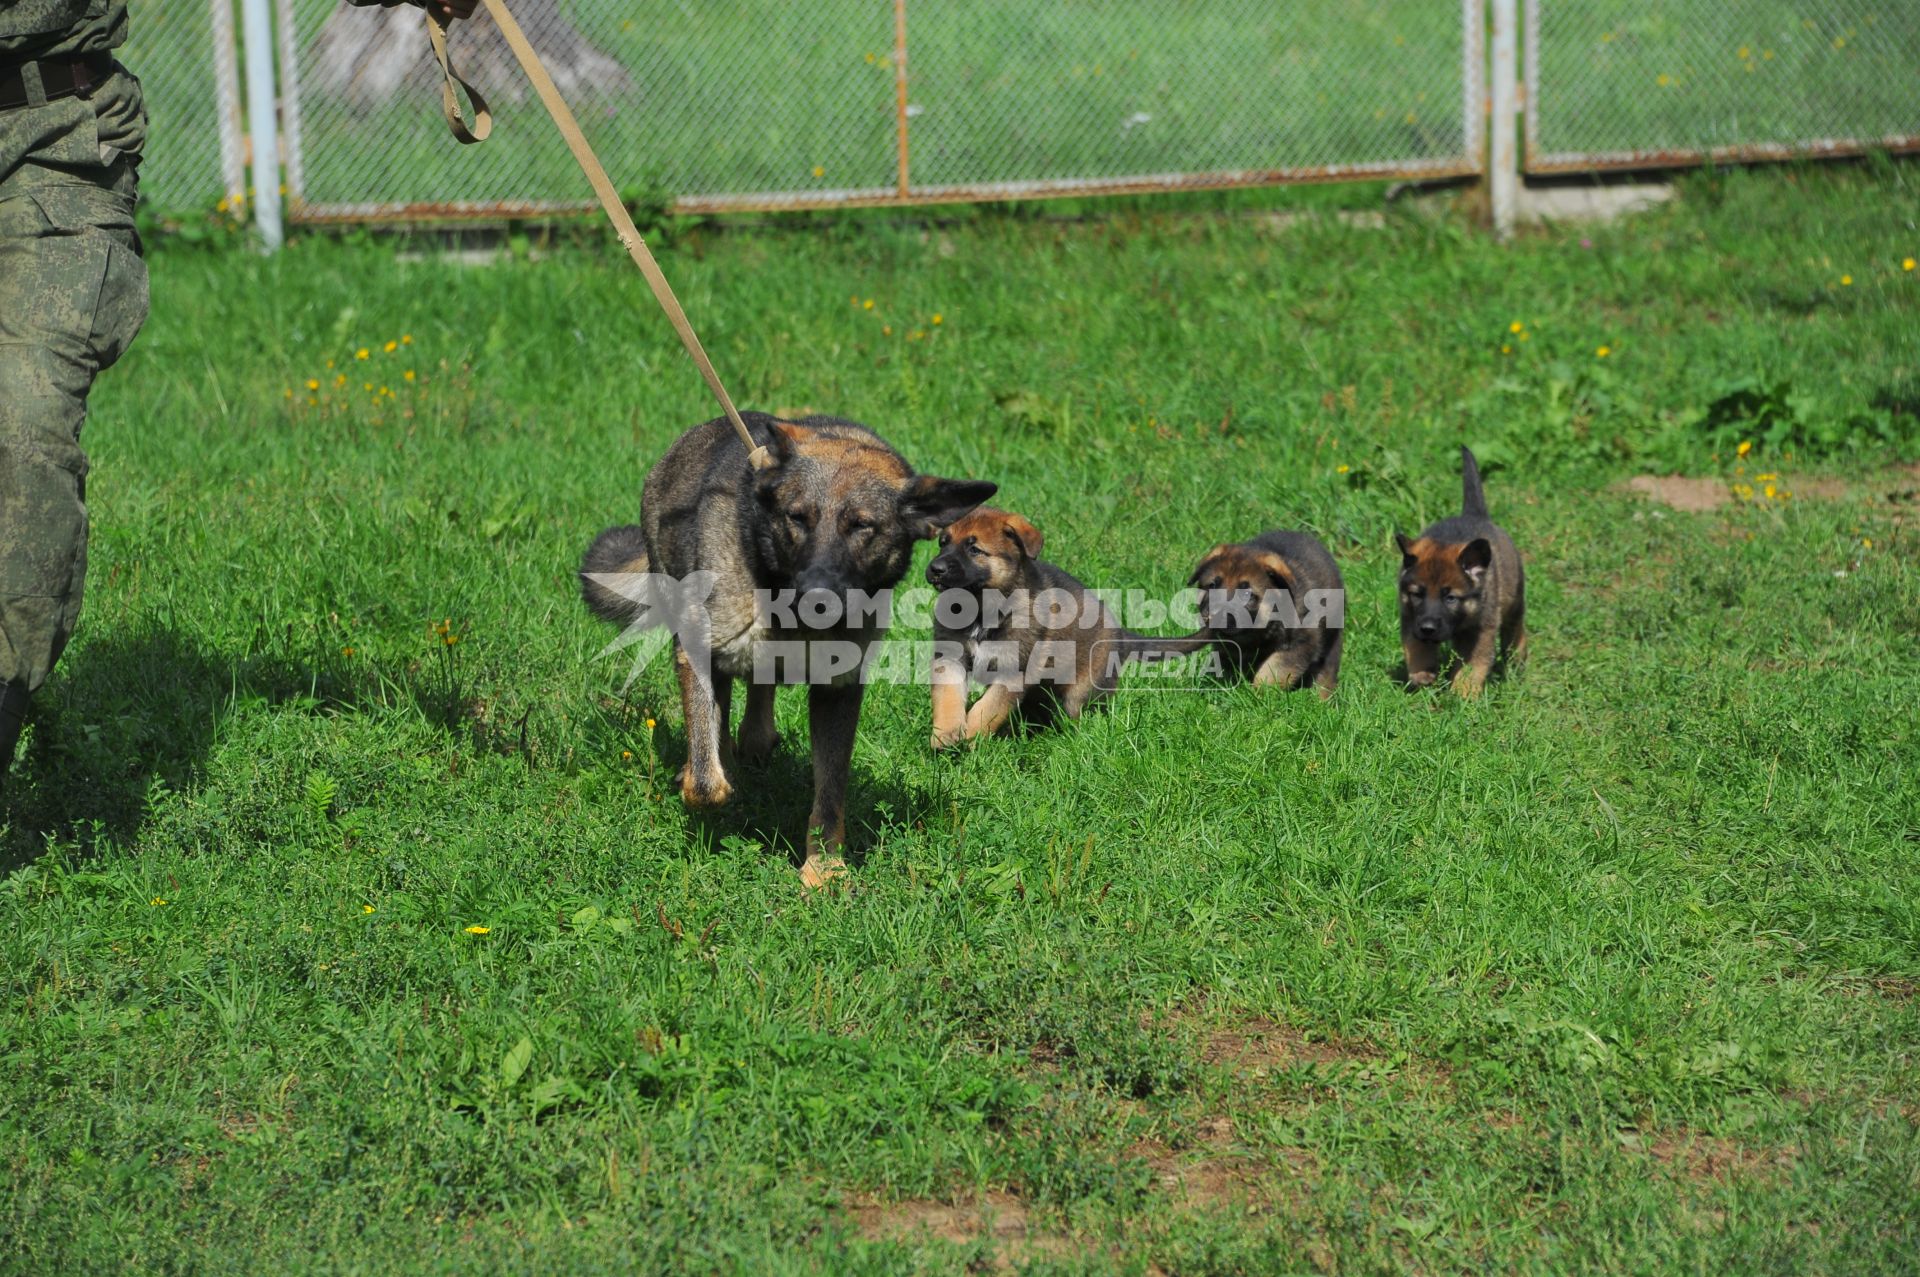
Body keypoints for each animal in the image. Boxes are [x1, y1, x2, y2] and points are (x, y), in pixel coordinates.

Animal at [576, 416, 998, 887]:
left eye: (862, 526)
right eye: (797, 518)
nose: (814, 596)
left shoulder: (838, 690)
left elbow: (830, 794)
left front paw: (824, 870)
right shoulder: (697, 651)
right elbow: (706, 783)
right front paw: (710, 777)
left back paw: (755, 736)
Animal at [925, 506, 1198, 748]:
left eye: (974, 549)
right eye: (943, 543)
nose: (935, 569)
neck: (982, 609)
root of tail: (1120, 635)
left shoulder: (1013, 672)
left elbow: (987, 707)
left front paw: (970, 738)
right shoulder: (950, 658)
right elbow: (948, 698)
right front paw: (946, 734)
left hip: (1082, 689)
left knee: (1079, 714)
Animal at [1190, 526, 1344, 698]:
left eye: (1246, 594)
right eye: (1213, 585)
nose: (1213, 615)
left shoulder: (1300, 642)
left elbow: (1273, 670)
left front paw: (1261, 694)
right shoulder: (1228, 648)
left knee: (1325, 672)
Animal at [1397, 443, 1528, 691]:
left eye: (1450, 598)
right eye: (1417, 594)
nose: (1428, 628)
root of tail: (1475, 514)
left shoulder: (1480, 631)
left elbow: (1470, 667)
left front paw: (1461, 695)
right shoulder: (1410, 618)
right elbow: (1416, 647)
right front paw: (1422, 673)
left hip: (1514, 602)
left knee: (1515, 631)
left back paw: (1516, 662)